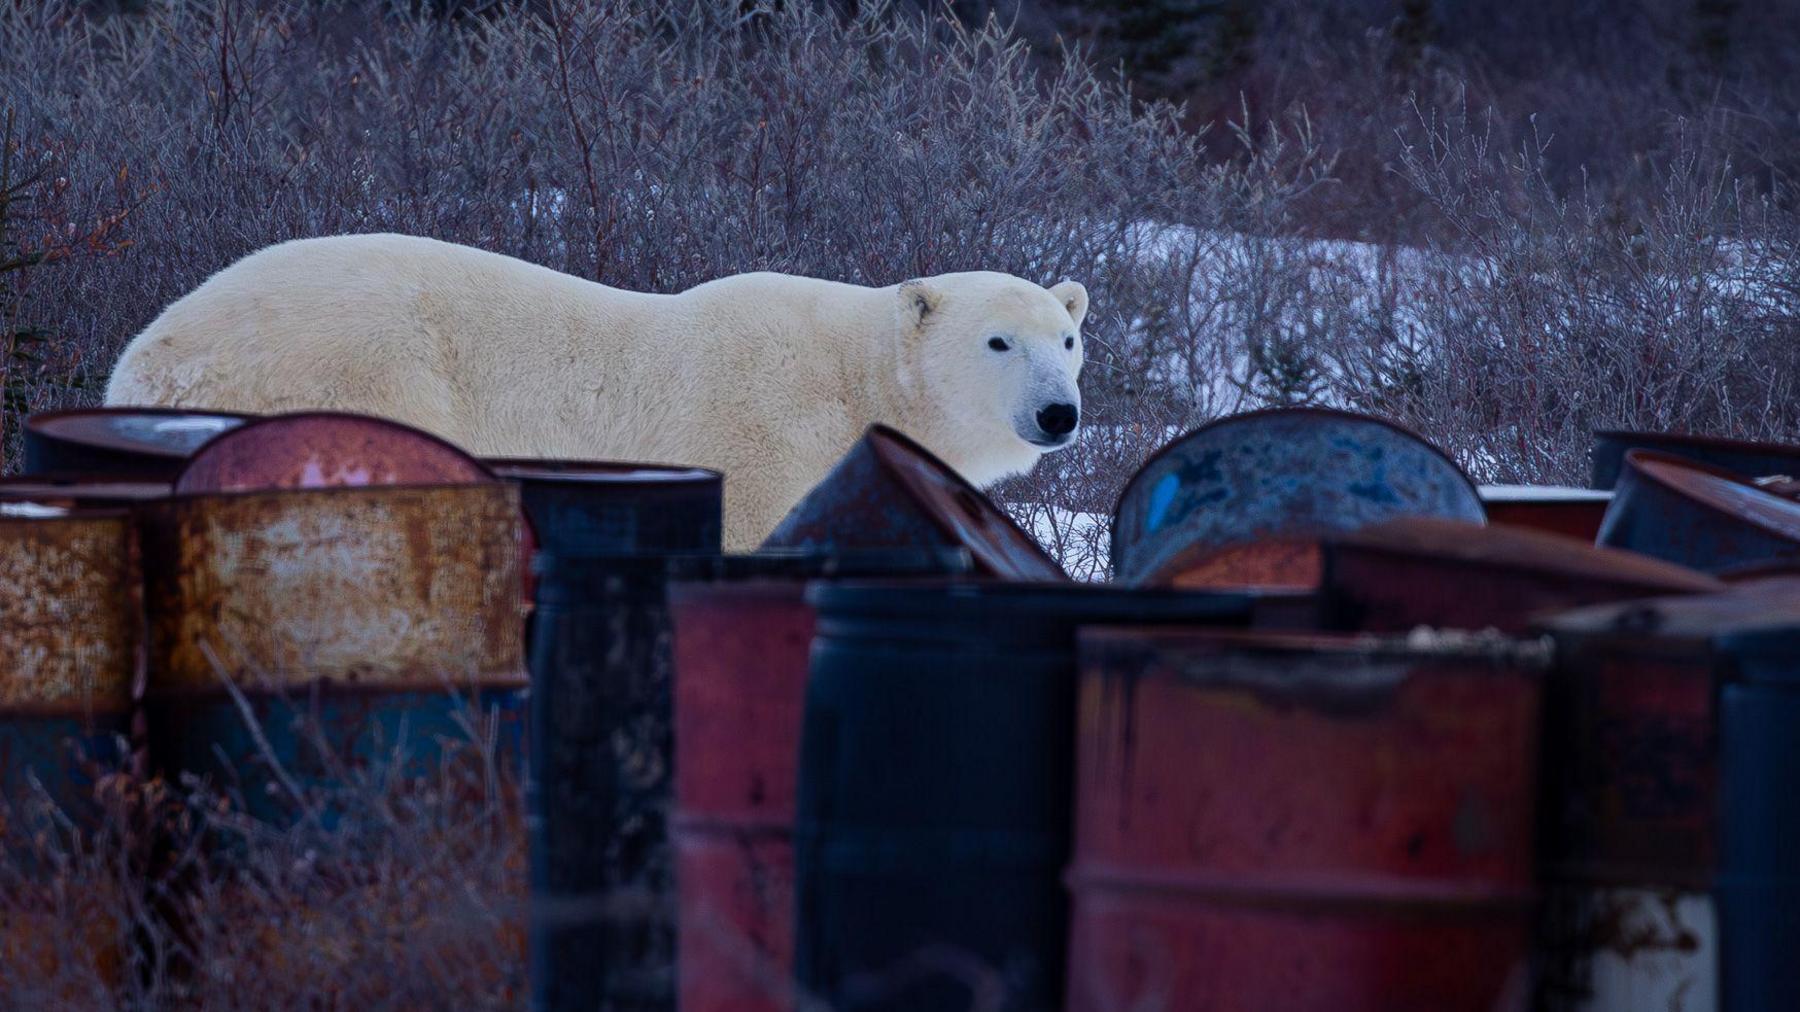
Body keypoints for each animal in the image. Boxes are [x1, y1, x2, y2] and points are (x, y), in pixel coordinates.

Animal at [105, 234, 1087, 547]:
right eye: (999, 340)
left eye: (1069, 338)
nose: (1059, 412)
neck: (854, 378)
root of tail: (145, 358)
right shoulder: (762, 443)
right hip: (353, 370)